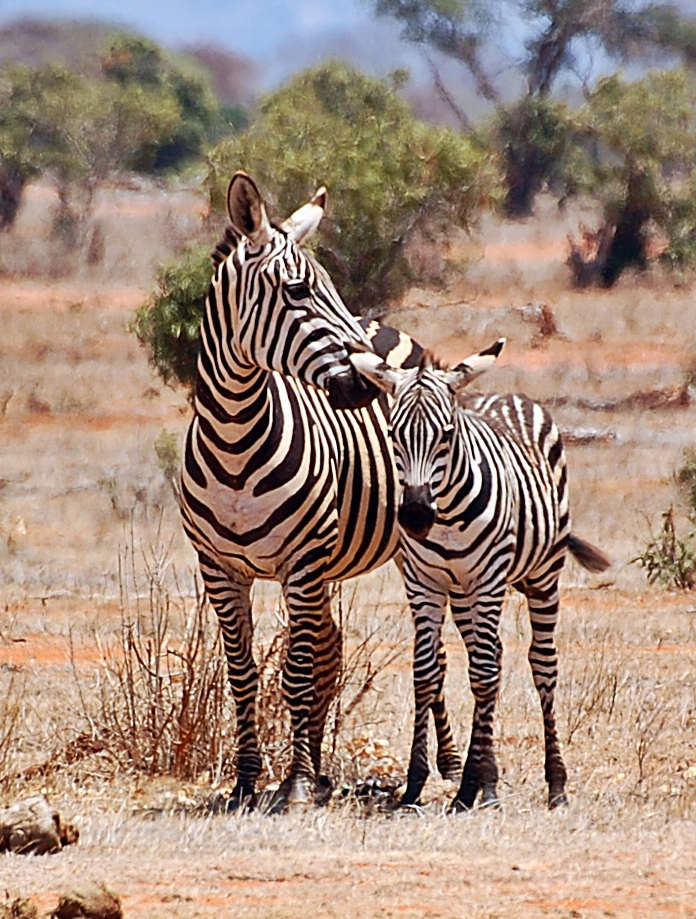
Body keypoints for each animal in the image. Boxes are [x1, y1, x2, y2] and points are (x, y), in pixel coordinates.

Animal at [182, 172, 462, 812]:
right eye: (296, 291)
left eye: (330, 287)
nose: (373, 379)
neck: (234, 439)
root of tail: (388, 327)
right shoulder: (219, 569)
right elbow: (244, 673)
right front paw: (248, 782)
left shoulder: (303, 561)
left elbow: (297, 670)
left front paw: (296, 785)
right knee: (333, 646)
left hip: (407, 547)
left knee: (431, 651)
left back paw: (450, 762)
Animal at [354, 344, 608, 812]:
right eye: (393, 434)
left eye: (447, 434)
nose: (415, 516)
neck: (447, 515)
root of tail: (506, 395)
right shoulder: (424, 583)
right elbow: (426, 671)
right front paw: (417, 784)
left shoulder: (489, 580)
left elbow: (484, 675)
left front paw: (481, 787)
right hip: (462, 594)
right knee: (487, 657)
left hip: (541, 575)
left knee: (540, 665)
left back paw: (555, 784)